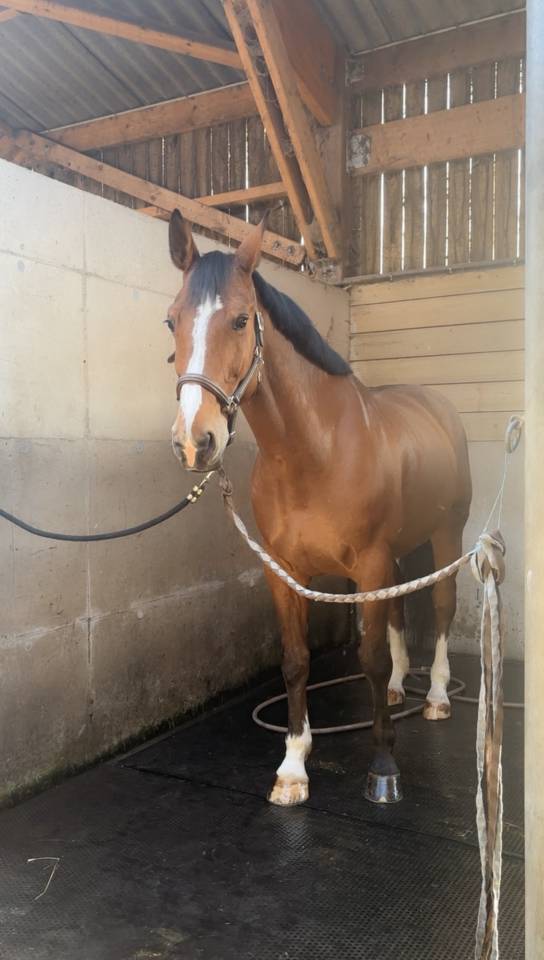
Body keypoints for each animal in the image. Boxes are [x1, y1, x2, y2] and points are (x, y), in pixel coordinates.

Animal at [165, 210, 472, 806]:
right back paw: (398, 690)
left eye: (241, 320)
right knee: (399, 614)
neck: (315, 451)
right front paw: (293, 766)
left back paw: (436, 698)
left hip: (447, 536)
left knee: (442, 606)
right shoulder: (282, 571)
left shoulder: (369, 564)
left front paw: (383, 767)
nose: (196, 442)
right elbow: (296, 661)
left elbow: (370, 657)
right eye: (172, 322)